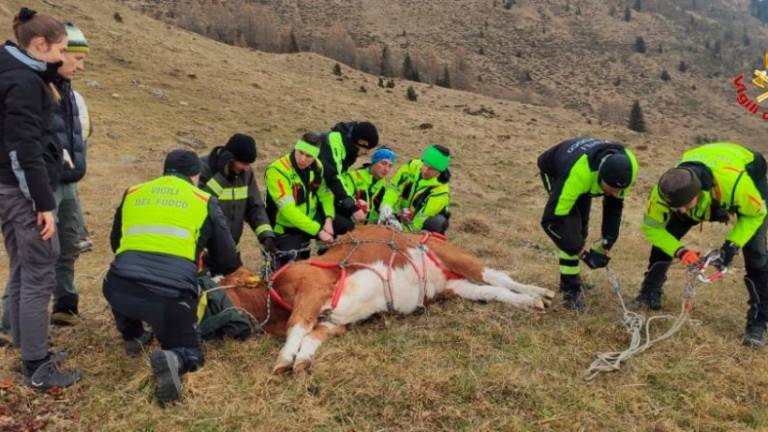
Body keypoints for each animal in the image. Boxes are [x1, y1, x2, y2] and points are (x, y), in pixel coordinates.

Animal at [214, 224, 552, 372]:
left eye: (222, 283)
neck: (273, 295)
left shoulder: (313, 290)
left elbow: (297, 326)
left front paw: (284, 359)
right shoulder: (333, 322)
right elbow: (312, 336)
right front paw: (303, 359)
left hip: (455, 256)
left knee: (497, 275)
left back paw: (539, 292)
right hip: (455, 286)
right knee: (493, 291)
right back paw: (534, 300)